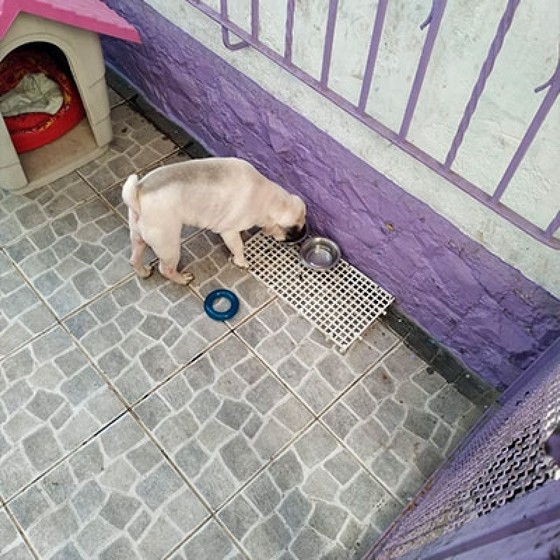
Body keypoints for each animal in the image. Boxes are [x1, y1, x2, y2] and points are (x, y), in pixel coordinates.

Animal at [121, 158, 306, 286]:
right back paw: (181, 279)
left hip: (137, 235)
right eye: (294, 232)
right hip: (169, 245)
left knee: (134, 258)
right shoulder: (229, 232)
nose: (303, 234)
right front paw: (242, 262)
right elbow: (238, 248)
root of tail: (138, 192)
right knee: (166, 269)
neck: (272, 201)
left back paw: (143, 272)